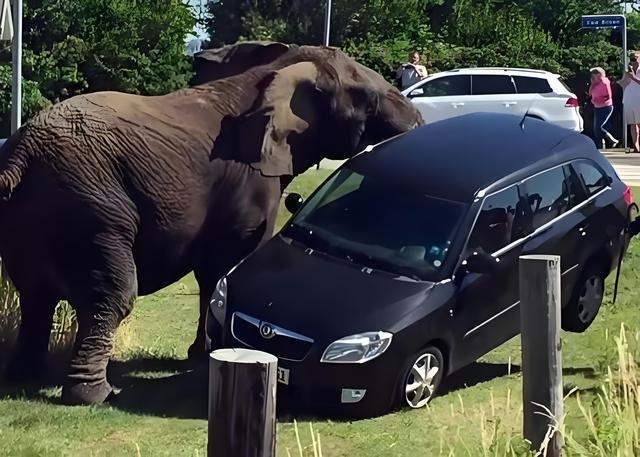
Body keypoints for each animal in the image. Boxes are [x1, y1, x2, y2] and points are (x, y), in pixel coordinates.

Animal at [0, 42, 422, 404]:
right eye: (369, 99)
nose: (420, 120)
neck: (274, 71)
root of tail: (22, 150)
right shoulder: (250, 179)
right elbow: (231, 261)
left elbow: (211, 273)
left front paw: (200, 355)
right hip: (92, 209)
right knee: (112, 296)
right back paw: (96, 395)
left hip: (29, 218)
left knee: (34, 297)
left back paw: (23, 376)